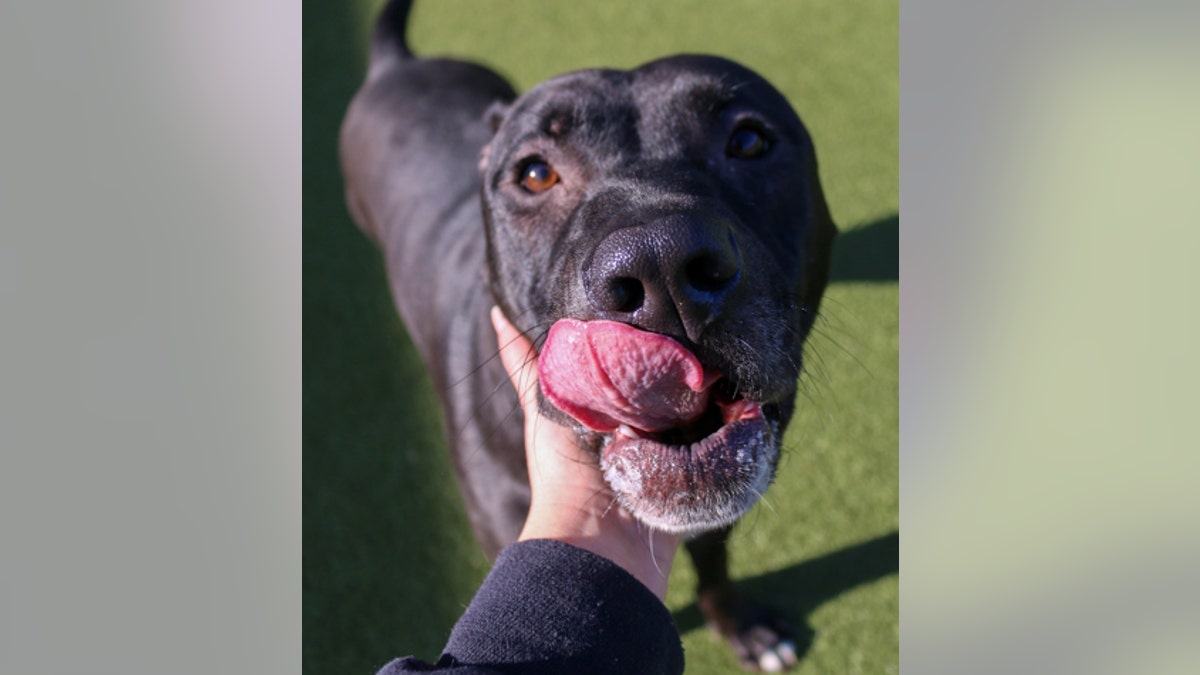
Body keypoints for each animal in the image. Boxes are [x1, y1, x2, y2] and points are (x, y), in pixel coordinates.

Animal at [340, 0, 835, 667]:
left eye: (749, 140)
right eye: (534, 173)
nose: (659, 263)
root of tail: (399, 64)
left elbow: (716, 565)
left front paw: (742, 624)